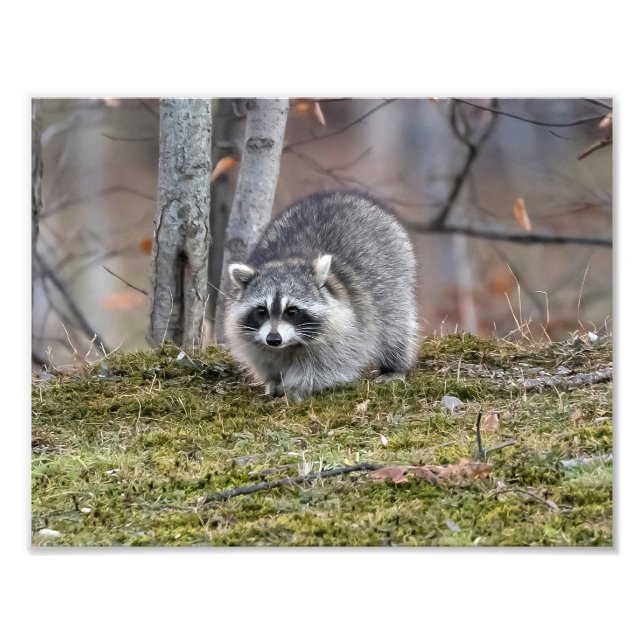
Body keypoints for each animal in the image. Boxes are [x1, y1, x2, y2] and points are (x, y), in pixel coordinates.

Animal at [224, 191, 418, 401]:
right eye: (261, 311)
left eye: (291, 311)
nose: (273, 339)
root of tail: (344, 194)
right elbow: (265, 359)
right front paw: (274, 381)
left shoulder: (347, 328)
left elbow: (331, 364)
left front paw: (297, 387)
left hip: (395, 276)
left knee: (394, 327)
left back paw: (394, 366)